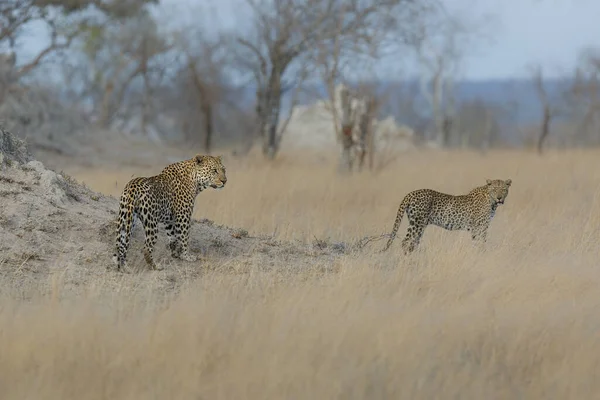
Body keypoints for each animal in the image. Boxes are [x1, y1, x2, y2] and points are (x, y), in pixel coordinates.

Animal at [382, 180, 512, 255]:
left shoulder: (481, 227)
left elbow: (478, 242)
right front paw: (481, 254)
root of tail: (410, 193)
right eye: (495, 189)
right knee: (406, 241)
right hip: (417, 224)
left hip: (418, 225)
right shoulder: (480, 227)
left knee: (413, 242)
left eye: (504, 190)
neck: (491, 201)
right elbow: (480, 242)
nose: (499, 198)